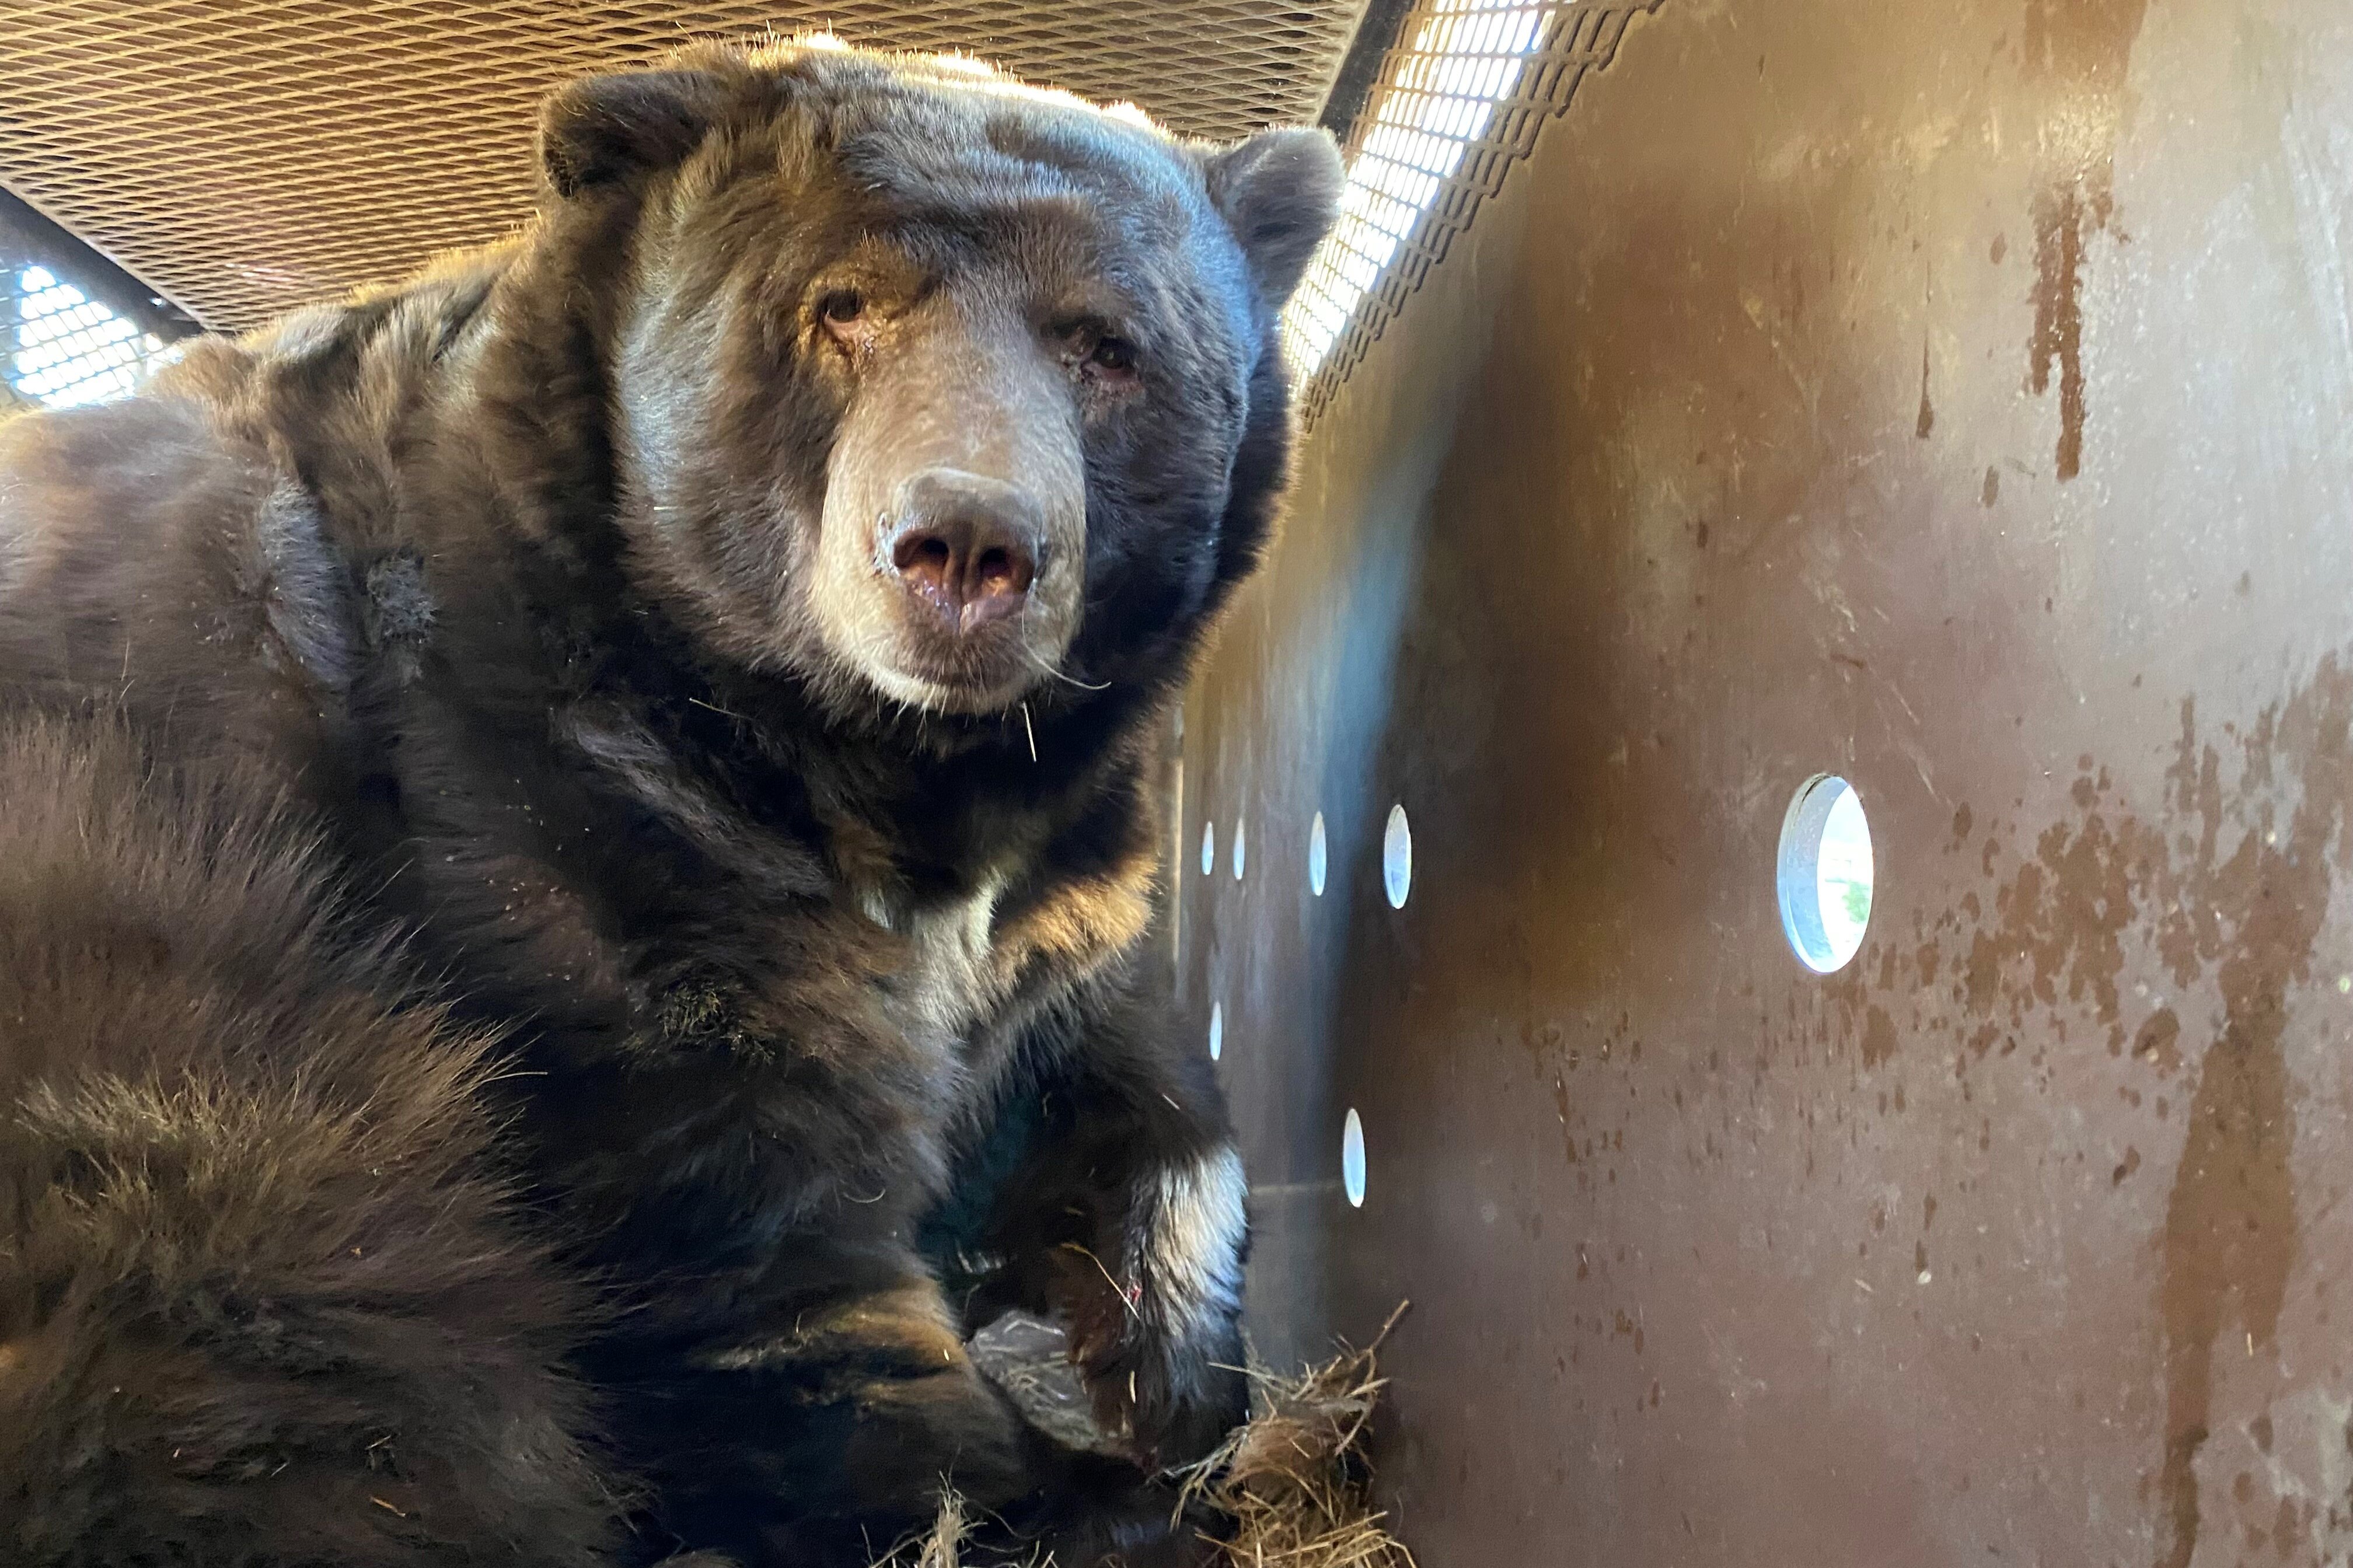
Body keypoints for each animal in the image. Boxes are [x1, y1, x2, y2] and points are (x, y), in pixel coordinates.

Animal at [0, 35, 1342, 1568]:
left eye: (1107, 344)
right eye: (841, 306)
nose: (966, 543)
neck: (885, 771)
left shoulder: (1061, 892)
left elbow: (1131, 1073)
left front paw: (1173, 1372)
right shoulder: (568, 838)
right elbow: (760, 1271)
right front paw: (1082, 1486)